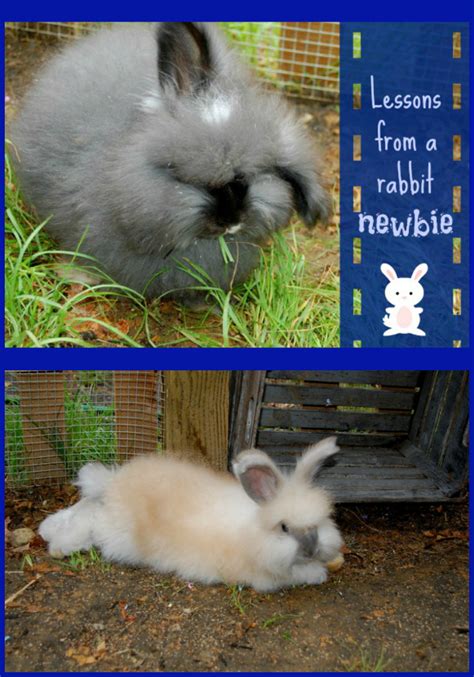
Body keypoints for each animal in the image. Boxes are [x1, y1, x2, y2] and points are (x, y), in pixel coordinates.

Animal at [38, 437, 343, 592]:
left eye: (320, 522)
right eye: (284, 528)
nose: (312, 548)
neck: (253, 531)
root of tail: (113, 485)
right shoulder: (267, 576)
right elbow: (296, 574)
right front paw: (317, 573)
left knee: (87, 504)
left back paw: (47, 529)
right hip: (116, 533)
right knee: (90, 518)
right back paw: (58, 544)